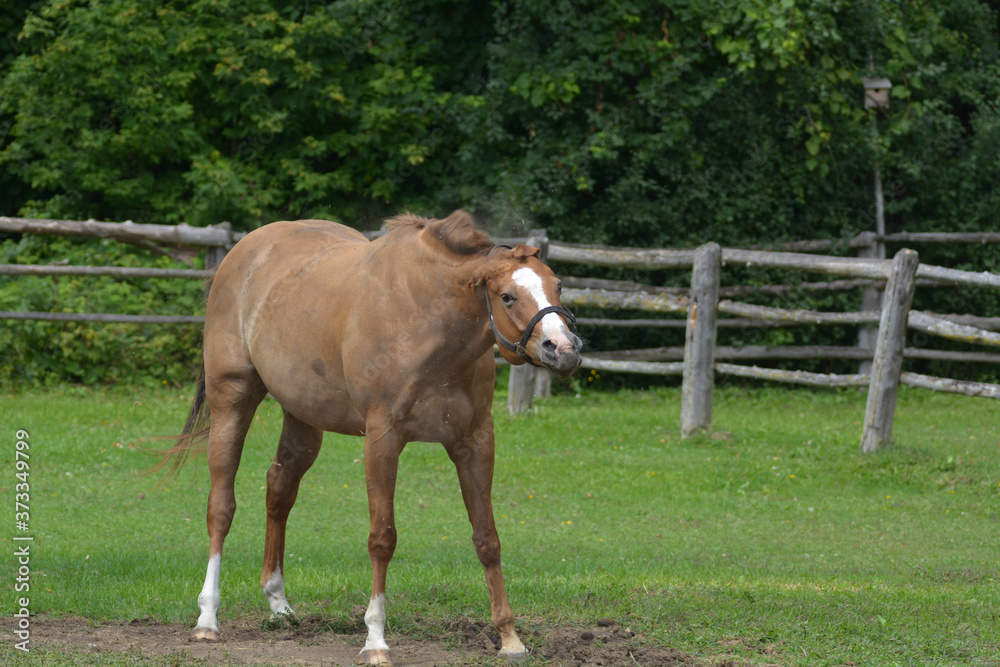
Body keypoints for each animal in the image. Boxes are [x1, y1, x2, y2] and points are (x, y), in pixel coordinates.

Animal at [157, 210, 582, 666]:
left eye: (557, 284)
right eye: (506, 296)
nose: (563, 349)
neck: (429, 322)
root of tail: (243, 252)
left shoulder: (475, 441)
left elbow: (487, 538)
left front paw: (509, 636)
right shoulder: (383, 439)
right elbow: (383, 538)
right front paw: (376, 639)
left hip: (303, 419)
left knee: (279, 490)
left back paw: (278, 603)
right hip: (231, 403)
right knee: (221, 506)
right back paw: (207, 618)